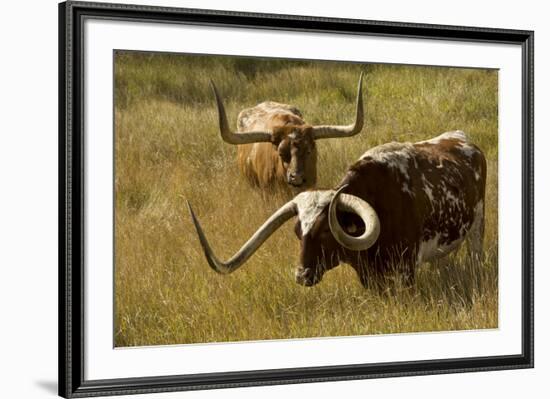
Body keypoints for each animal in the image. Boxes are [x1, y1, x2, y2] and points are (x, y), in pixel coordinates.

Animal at [189, 131, 488, 288]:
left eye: (325, 232)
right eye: (297, 232)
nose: (301, 276)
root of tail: (463, 139)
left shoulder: (406, 270)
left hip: (477, 229)